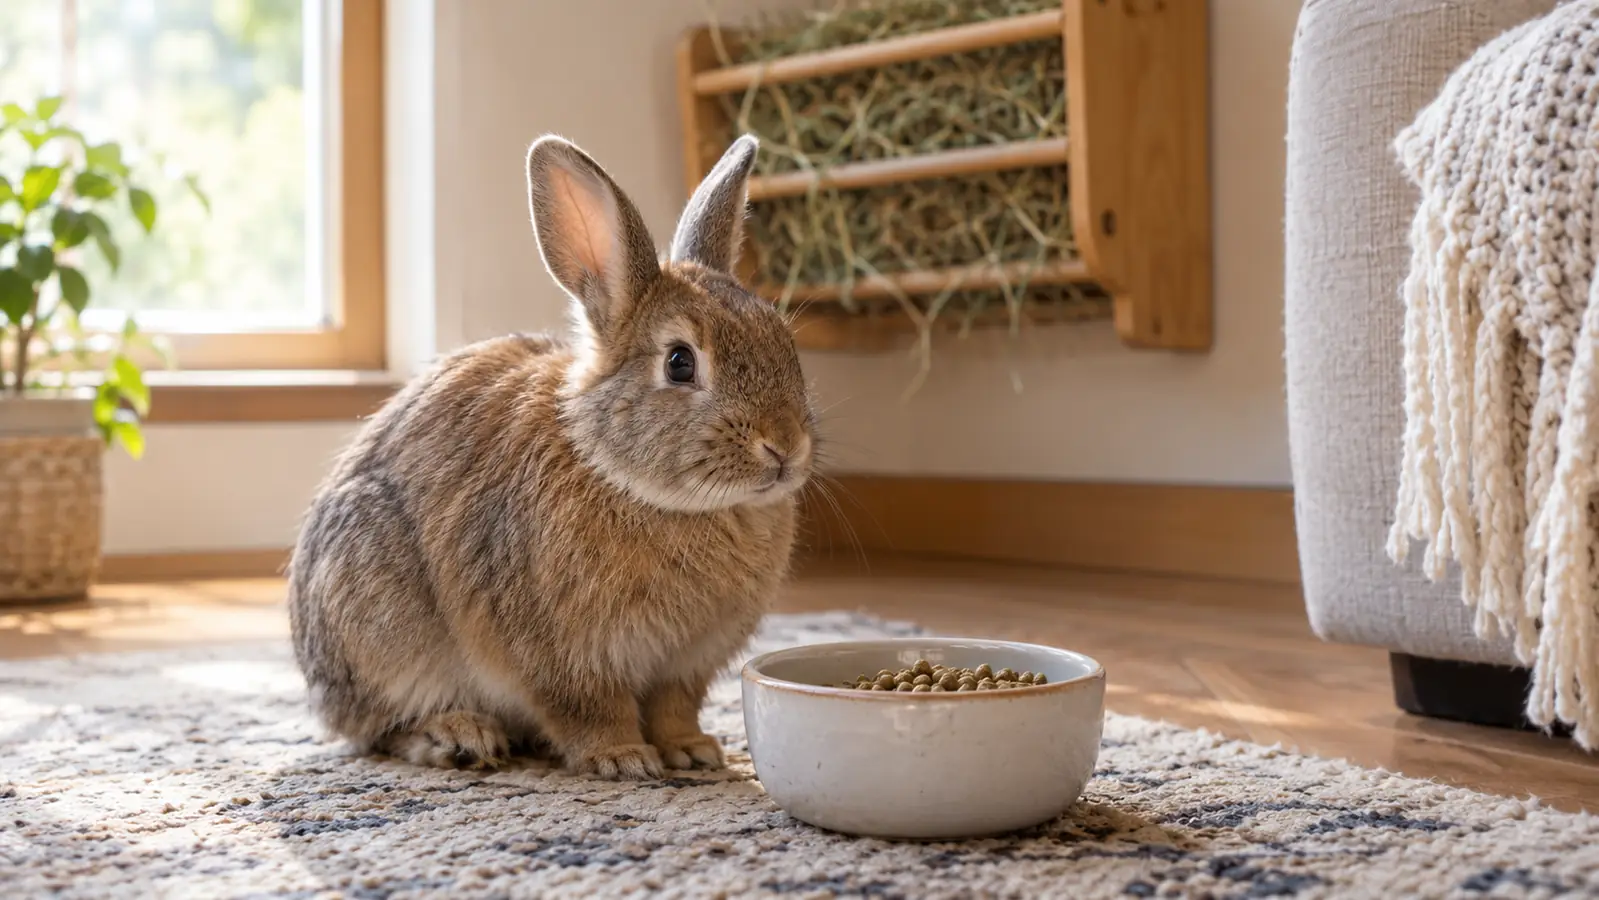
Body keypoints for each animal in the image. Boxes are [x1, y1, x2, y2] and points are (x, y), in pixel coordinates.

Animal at [286, 133, 815, 780]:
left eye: (783, 340)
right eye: (680, 363)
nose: (785, 445)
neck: (621, 475)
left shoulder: (684, 666)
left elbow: (674, 708)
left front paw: (692, 751)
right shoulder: (566, 655)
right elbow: (589, 708)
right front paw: (623, 759)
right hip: (380, 624)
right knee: (379, 728)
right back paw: (460, 737)